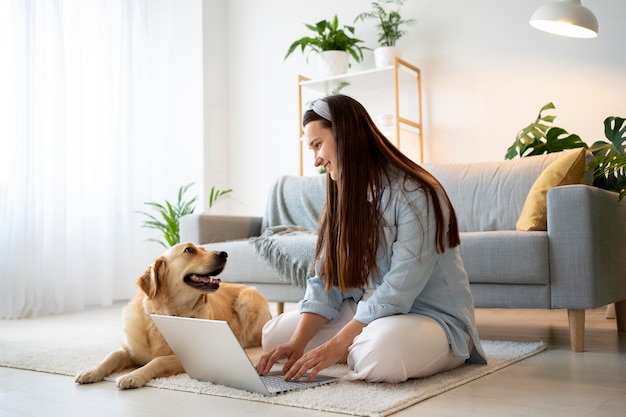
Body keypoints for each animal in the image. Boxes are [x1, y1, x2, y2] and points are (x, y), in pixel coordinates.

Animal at [74, 242, 270, 388]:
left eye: (204, 249)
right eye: (189, 250)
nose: (224, 253)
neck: (167, 314)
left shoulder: (186, 356)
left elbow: (158, 361)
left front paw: (133, 376)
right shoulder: (130, 350)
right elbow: (112, 356)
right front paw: (91, 371)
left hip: (247, 301)